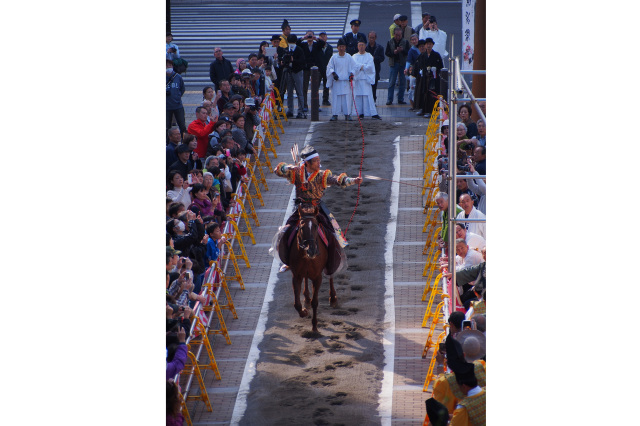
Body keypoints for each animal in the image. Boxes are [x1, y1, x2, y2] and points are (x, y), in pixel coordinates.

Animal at [288, 203, 338, 332]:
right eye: (301, 227)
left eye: (315, 226)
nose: (311, 249)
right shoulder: (296, 276)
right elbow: (296, 303)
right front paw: (304, 311)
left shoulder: (317, 277)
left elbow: (315, 302)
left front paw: (315, 326)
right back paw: (306, 299)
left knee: (331, 275)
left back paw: (333, 298)